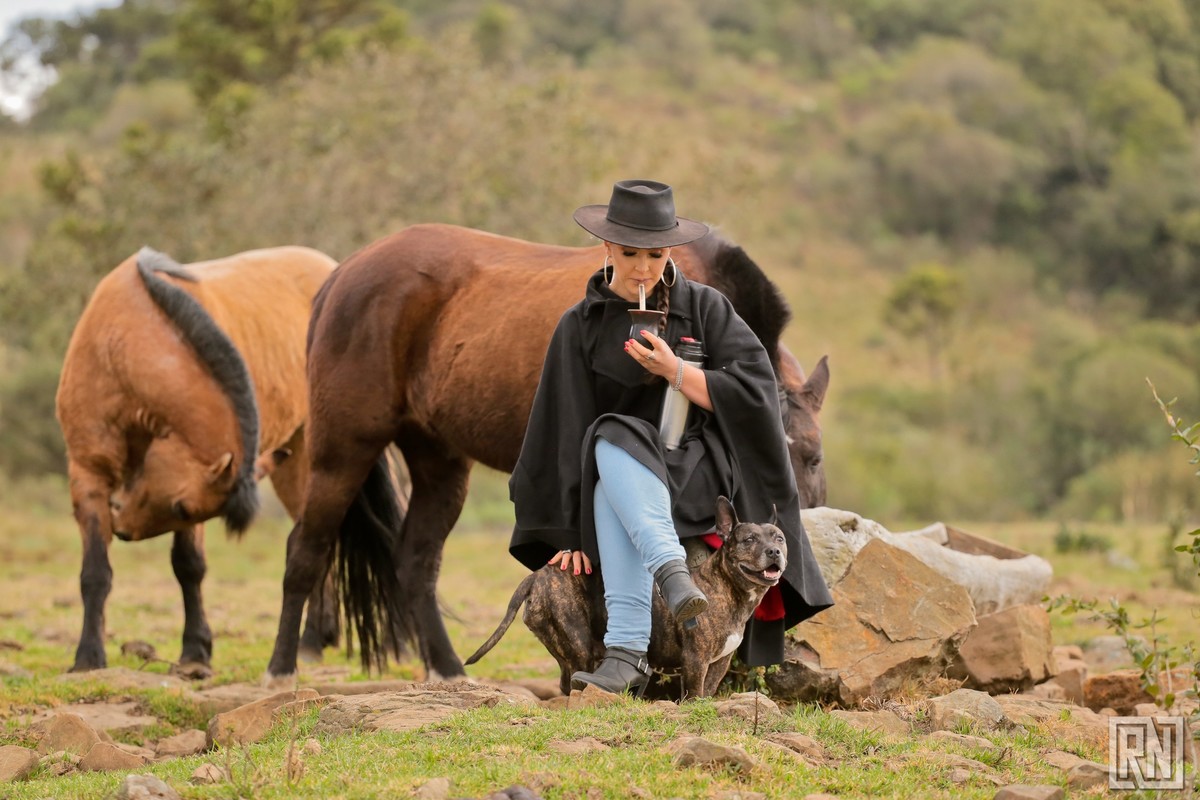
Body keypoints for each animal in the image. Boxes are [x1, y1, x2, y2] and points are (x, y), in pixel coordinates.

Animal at [56, 246, 341, 675]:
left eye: (183, 509)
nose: (122, 527)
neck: (120, 343)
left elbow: (188, 566)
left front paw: (194, 651)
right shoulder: (89, 474)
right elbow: (96, 571)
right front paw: (88, 657)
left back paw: (310, 641)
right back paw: (315, 640)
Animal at [466, 496, 787, 699]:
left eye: (779, 538)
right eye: (749, 540)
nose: (774, 551)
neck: (727, 589)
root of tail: (539, 575)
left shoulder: (719, 663)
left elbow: (707, 693)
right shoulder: (695, 661)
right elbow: (695, 694)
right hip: (577, 643)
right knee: (572, 683)